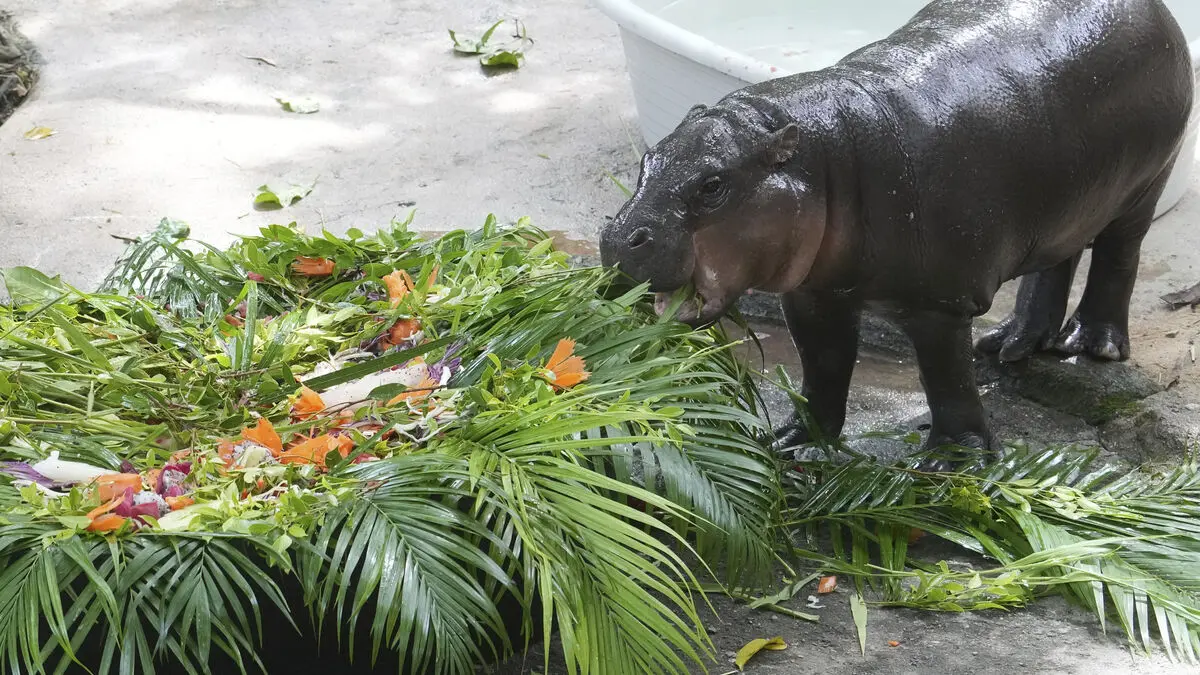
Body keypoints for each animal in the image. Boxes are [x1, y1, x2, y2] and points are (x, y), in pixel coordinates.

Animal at [599, 0, 1194, 465]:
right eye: (649, 159)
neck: (825, 157)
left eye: (713, 185)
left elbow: (947, 380)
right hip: (1069, 200)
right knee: (1056, 259)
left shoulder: (940, 305)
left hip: (1145, 184)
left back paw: (1090, 346)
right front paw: (792, 440)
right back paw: (1010, 345)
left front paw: (952, 462)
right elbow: (823, 368)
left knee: (1118, 256)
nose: (620, 236)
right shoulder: (814, 294)